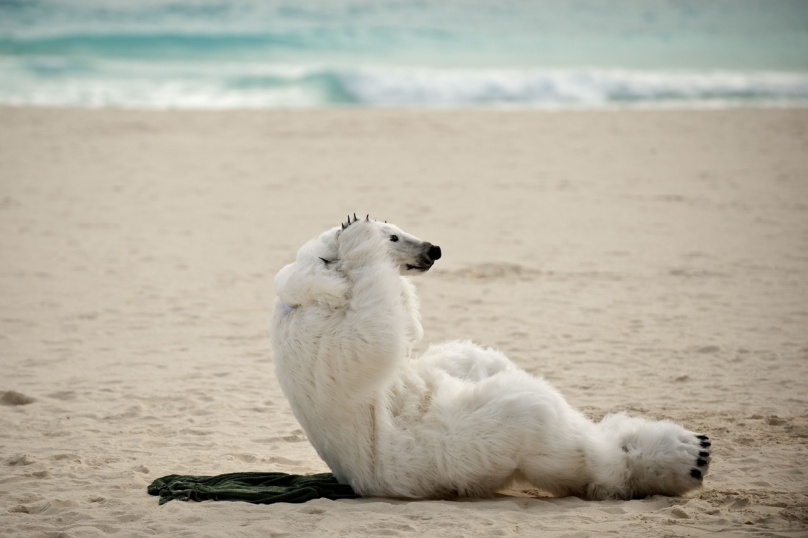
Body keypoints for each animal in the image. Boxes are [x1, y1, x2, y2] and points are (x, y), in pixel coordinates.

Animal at [268, 215, 712, 498]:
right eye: (392, 237)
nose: (434, 249)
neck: (309, 289)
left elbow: (408, 333)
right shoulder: (320, 334)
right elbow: (371, 339)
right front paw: (359, 235)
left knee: (471, 358)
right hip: (442, 450)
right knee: (534, 416)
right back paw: (686, 457)